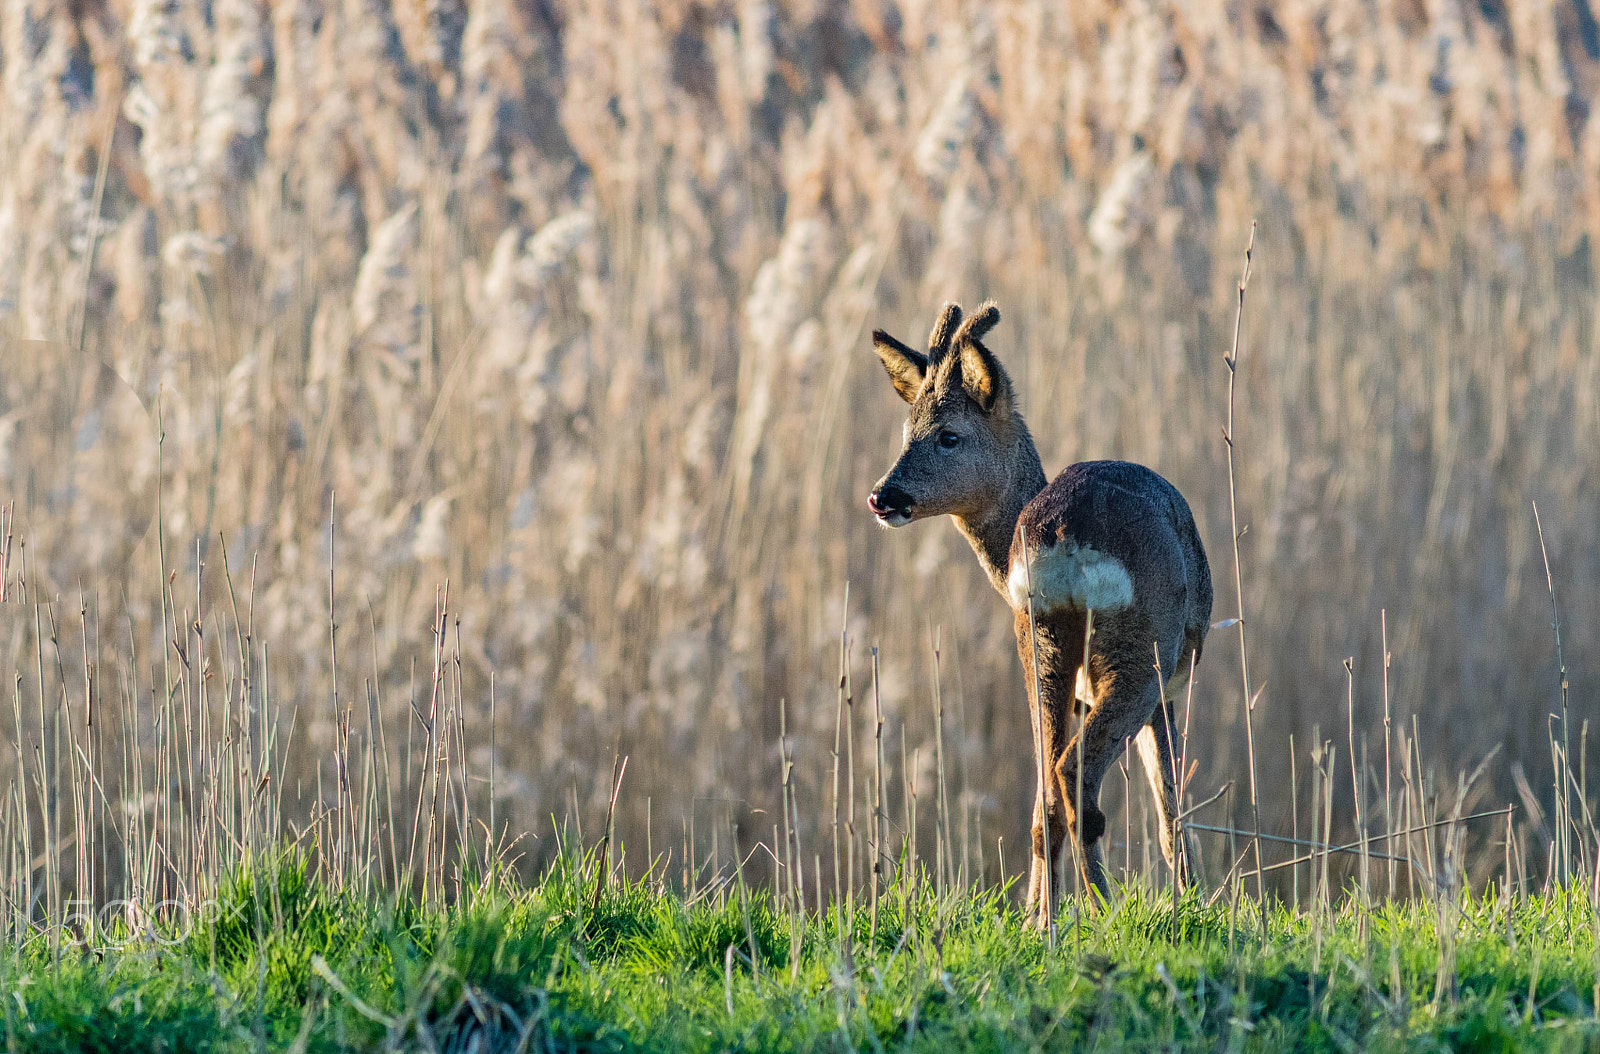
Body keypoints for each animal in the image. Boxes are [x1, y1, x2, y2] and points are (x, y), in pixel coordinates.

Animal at [870, 300, 1203, 921]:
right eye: (906, 433)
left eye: (947, 436)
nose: (882, 495)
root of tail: (1065, 534)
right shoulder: (1168, 683)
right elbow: (1171, 801)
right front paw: (1195, 900)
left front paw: (1033, 915)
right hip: (1141, 648)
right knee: (1075, 776)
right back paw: (1104, 909)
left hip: (1039, 641)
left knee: (1048, 786)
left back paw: (1045, 918)